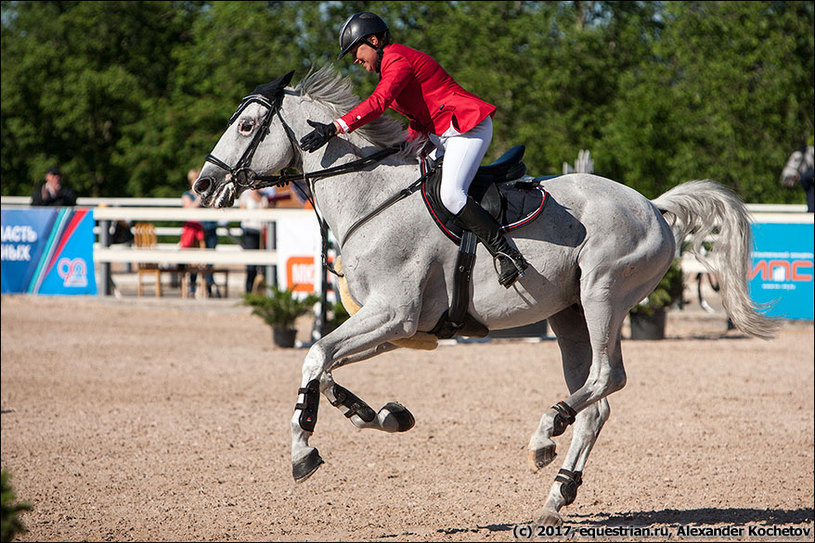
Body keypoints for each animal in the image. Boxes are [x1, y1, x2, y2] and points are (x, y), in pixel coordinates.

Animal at [193, 68, 776, 528]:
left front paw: (303, 450)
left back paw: (545, 433)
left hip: (602, 295)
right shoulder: (397, 328)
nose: (202, 187)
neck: (372, 200)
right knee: (597, 401)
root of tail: (653, 206)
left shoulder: (394, 315)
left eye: (247, 126)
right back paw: (556, 495)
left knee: (608, 377)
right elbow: (327, 369)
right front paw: (385, 415)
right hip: (569, 316)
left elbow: (315, 358)